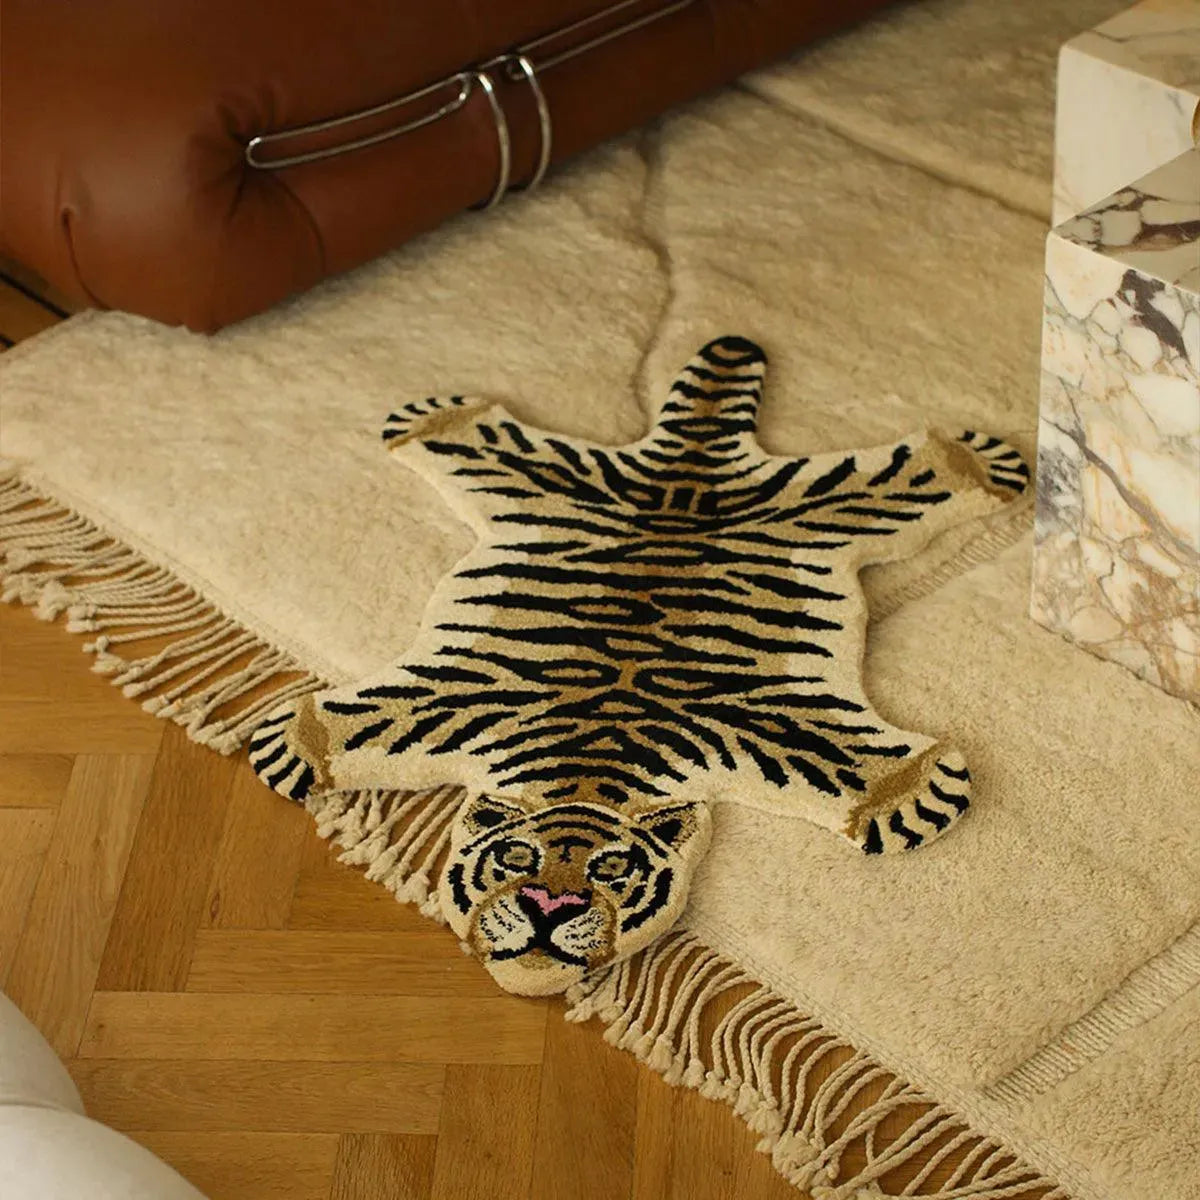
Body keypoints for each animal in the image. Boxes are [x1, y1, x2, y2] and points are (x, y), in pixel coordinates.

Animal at [249, 335, 1029, 996]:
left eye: (613, 868)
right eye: (515, 859)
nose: (549, 904)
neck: (590, 757)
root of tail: (690, 463)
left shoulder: (764, 720)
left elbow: (857, 767)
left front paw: (918, 789)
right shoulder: (457, 695)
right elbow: (353, 723)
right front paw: (292, 744)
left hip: (818, 506)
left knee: (899, 478)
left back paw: (975, 462)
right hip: (553, 483)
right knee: (495, 443)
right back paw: (435, 419)